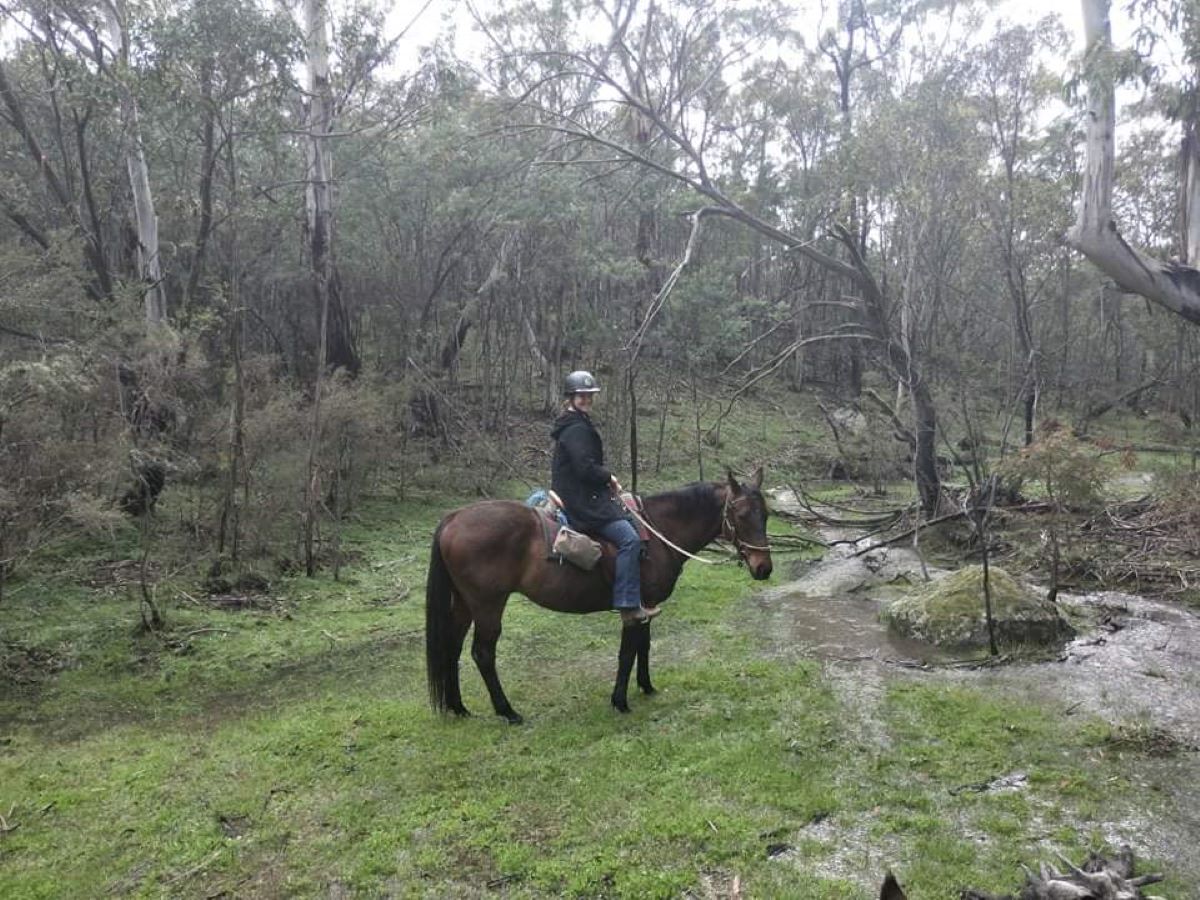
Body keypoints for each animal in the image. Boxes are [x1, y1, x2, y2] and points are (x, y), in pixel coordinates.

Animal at [425, 467, 773, 722]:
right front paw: (620, 701)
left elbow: (644, 647)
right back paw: (507, 711)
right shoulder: (635, 608)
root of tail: (453, 518)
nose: (764, 568)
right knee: (482, 653)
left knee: (452, 647)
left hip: (465, 603)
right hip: (488, 605)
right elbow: (628, 652)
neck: (659, 532)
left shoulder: (647, 606)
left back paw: (458, 707)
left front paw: (647, 687)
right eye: (742, 515)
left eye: (766, 515)